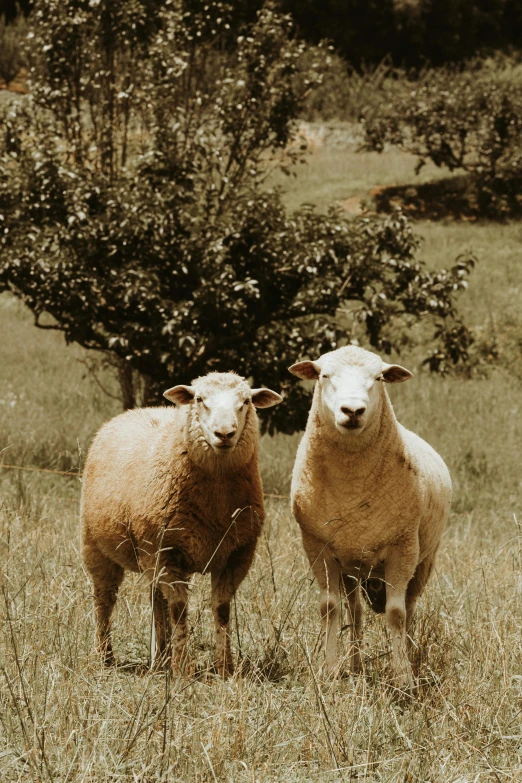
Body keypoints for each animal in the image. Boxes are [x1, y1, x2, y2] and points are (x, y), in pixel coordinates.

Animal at [80, 370, 280, 676]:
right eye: (199, 399)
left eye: (245, 402)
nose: (225, 434)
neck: (215, 503)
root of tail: (136, 410)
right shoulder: (168, 553)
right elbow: (179, 610)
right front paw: (183, 669)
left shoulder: (236, 554)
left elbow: (221, 609)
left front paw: (225, 667)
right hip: (98, 546)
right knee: (104, 600)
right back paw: (105, 656)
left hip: (151, 552)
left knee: (155, 600)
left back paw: (160, 657)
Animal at [288, 346, 450, 688]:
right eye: (324, 375)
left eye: (378, 378)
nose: (352, 410)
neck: (351, 485)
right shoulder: (317, 546)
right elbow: (329, 608)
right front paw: (330, 671)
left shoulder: (403, 547)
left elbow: (396, 615)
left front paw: (403, 679)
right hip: (352, 566)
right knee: (356, 612)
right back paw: (356, 665)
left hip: (424, 560)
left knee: (410, 609)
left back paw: (410, 657)